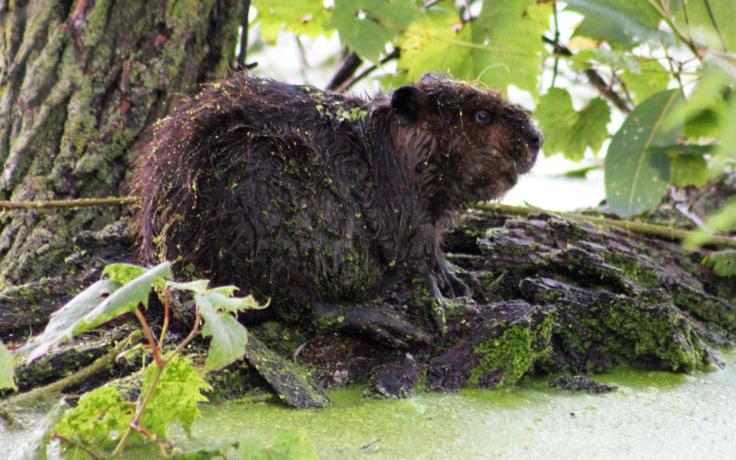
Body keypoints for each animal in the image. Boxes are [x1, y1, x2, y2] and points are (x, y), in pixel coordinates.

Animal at [134, 72, 540, 344]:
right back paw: (387, 321)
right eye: (482, 116)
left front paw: (459, 277)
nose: (537, 138)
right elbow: (413, 255)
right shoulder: (399, 206)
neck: (385, 149)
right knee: (301, 303)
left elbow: (434, 249)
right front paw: (447, 306)